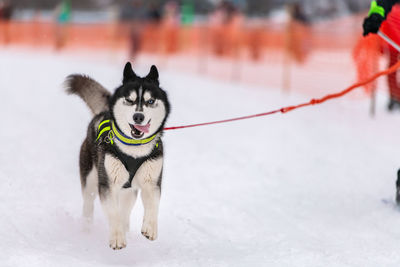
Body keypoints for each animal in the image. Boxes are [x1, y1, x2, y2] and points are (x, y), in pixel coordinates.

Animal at [65, 63, 170, 251]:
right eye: (129, 100)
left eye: (150, 101)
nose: (138, 116)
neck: (134, 150)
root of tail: (103, 112)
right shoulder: (108, 185)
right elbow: (113, 212)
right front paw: (117, 238)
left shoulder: (152, 182)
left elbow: (152, 205)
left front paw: (150, 228)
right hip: (91, 179)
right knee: (89, 203)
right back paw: (87, 229)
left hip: (129, 191)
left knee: (125, 210)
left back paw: (125, 226)